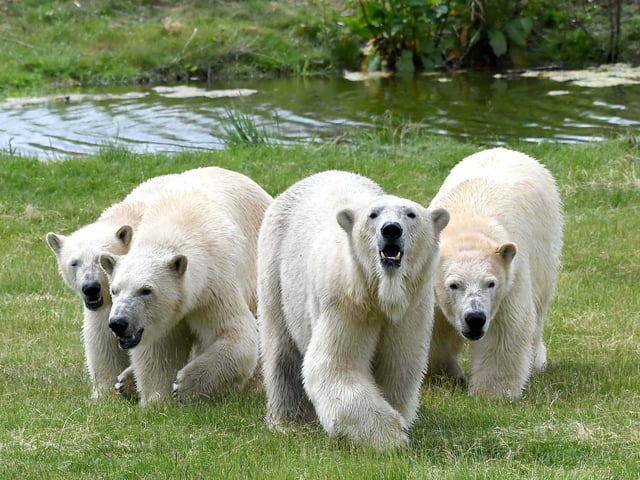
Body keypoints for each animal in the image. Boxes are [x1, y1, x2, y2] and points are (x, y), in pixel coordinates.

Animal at [99, 168, 272, 405]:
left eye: (146, 290)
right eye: (114, 290)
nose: (119, 323)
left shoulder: (214, 284)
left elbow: (234, 334)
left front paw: (184, 386)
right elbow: (159, 350)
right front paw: (157, 399)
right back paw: (125, 381)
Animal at [257, 170, 449, 449]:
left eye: (411, 214)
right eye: (373, 214)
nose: (391, 230)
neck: (380, 294)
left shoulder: (411, 310)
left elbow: (399, 366)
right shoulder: (345, 302)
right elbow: (336, 365)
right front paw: (390, 437)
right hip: (275, 266)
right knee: (282, 349)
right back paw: (289, 421)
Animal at [427, 147, 563, 399]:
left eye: (490, 283)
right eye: (454, 284)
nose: (475, 318)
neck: (466, 226)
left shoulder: (510, 279)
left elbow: (505, 329)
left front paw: (492, 393)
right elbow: (433, 328)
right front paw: (444, 376)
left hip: (546, 241)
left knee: (540, 306)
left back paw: (536, 361)